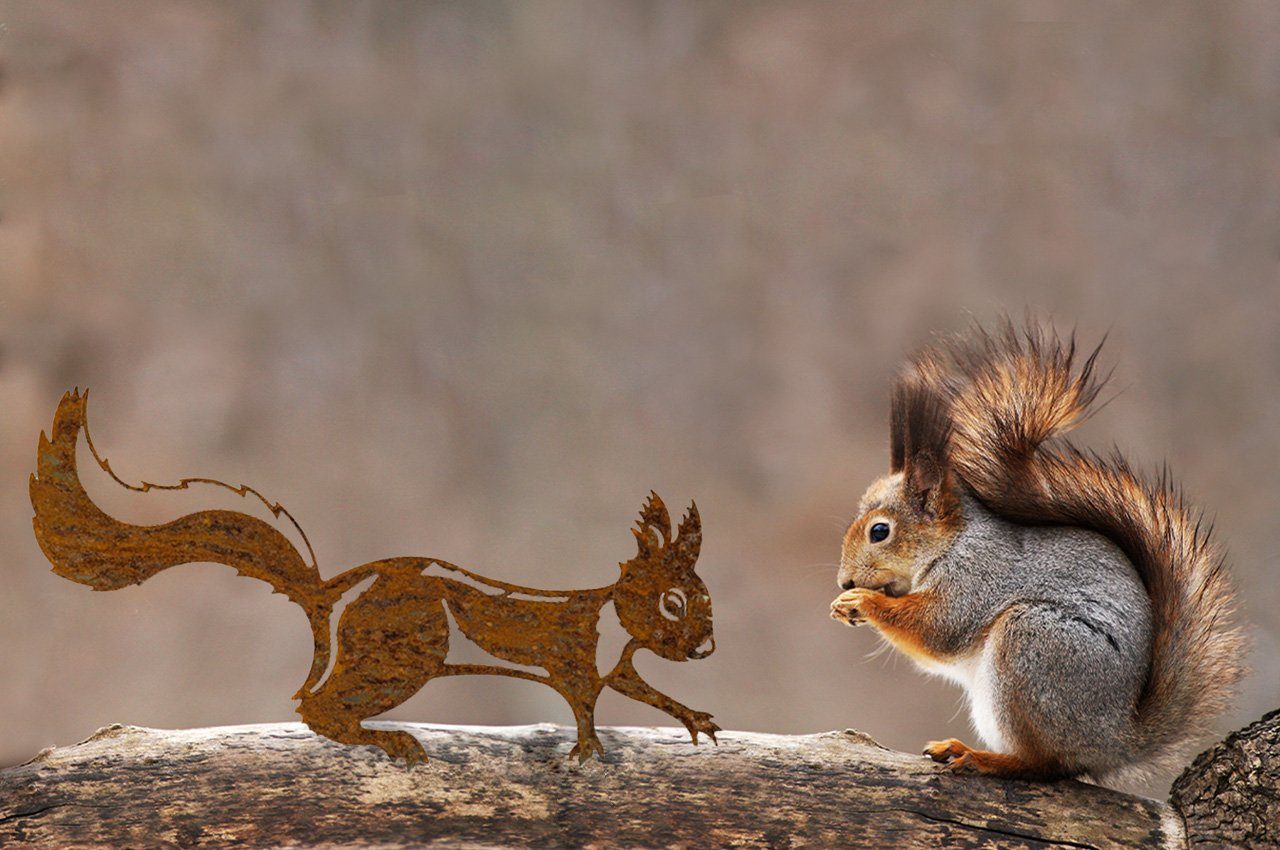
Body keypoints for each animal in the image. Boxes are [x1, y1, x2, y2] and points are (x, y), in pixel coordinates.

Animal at [30, 390, 719, 765]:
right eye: (673, 602)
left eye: (702, 596)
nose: (708, 649)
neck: (613, 618)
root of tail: (329, 596)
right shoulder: (574, 661)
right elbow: (582, 704)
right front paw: (588, 751)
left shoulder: (617, 665)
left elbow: (642, 690)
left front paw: (697, 720)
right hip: (397, 655)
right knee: (317, 707)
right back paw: (385, 740)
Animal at [829, 321, 1245, 781]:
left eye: (879, 531)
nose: (844, 581)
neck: (952, 544)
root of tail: (1115, 740)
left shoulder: (977, 578)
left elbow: (937, 629)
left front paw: (861, 601)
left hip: (1033, 644)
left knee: (1044, 764)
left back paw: (981, 757)